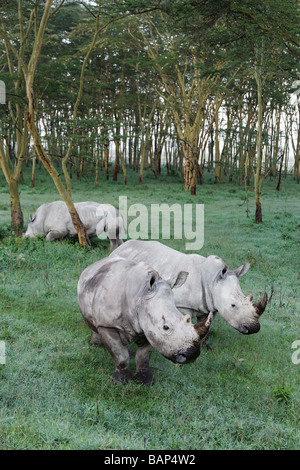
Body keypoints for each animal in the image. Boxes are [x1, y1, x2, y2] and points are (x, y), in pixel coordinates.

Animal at [77, 258, 213, 386]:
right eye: (165, 327)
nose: (191, 356)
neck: (141, 296)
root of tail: (97, 263)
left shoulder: (149, 327)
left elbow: (143, 355)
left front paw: (145, 381)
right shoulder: (108, 325)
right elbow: (119, 354)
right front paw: (121, 381)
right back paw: (95, 344)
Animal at [111, 241, 268, 336]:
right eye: (233, 305)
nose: (253, 328)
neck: (212, 280)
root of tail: (121, 246)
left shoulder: (210, 306)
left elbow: (206, 327)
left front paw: (206, 347)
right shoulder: (180, 306)